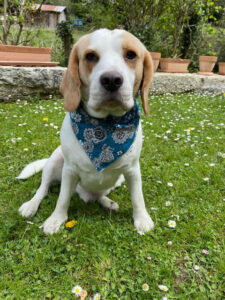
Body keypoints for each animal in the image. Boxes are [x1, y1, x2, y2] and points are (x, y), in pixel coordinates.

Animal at [18, 28, 155, 234]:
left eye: (131, 55)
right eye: (90, 56)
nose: (111, 80)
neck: (105, 128)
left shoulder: (132, 170)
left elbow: (138, 197)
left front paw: (142, 219)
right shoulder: (69, 171)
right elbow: (62, 199)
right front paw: (56, 219)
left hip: (117, 181)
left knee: (97, 196)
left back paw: (108, 202)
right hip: (54, 161)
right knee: (43, 189)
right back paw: (31, 205)